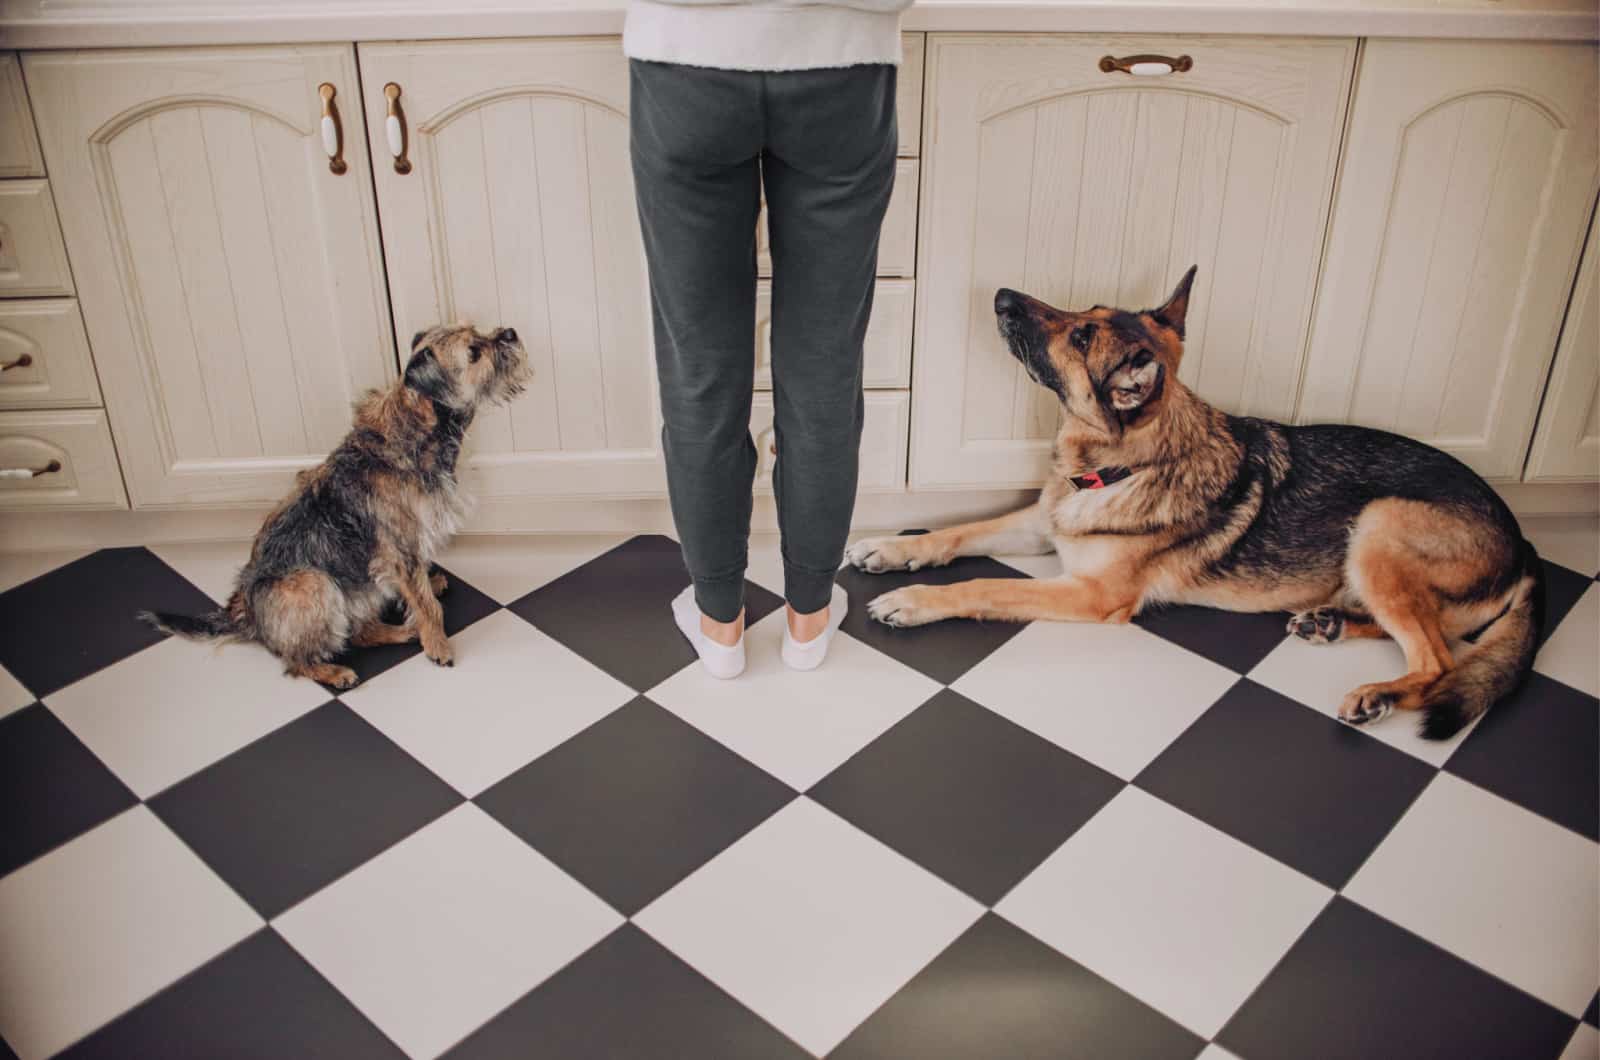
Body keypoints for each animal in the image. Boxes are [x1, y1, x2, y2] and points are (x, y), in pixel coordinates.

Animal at [141, 323, 528, 688]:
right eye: (474, 351)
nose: (510, 332)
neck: (416, 428)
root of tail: (245, 614)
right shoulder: (399, 550)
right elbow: (427, 605)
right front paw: (438, 645)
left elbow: (418, 590)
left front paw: (427, 594)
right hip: (313, 584)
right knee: (298, 660)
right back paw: (336, 671)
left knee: (358, 631)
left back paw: (402, 630)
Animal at [851, 270, 1536, 742]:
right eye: (1087, 312)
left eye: (1080, 334)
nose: (999, 295)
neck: (1123, 466)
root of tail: (1525, 543)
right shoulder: (1043, 524)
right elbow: (957, 531)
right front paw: (891, 546)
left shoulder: (1091, 595)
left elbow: (986, 585)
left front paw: (915, 602)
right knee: (1420, 634)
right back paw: (1330, 623)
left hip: (1380, 521)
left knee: (1440, 659)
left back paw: (1380, 695)